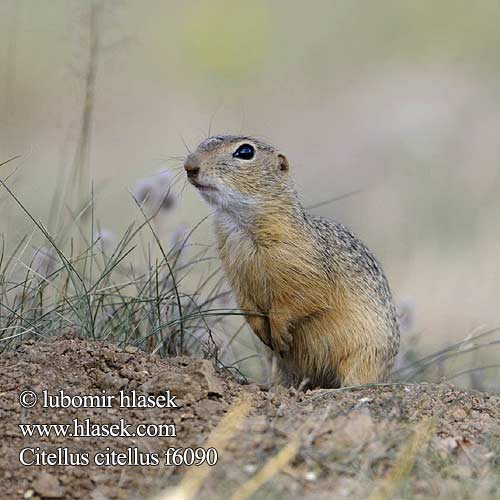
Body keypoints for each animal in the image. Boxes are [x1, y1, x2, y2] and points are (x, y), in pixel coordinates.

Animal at [184, 135, 398, 388]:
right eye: (203, 142)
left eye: (245, 152)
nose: (189, 166)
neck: (240, 226)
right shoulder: (235, 275)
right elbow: (247, 305)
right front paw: (262, 332)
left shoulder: (304, 268)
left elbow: (299, 300)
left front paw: (280, 333)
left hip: (364, 357)